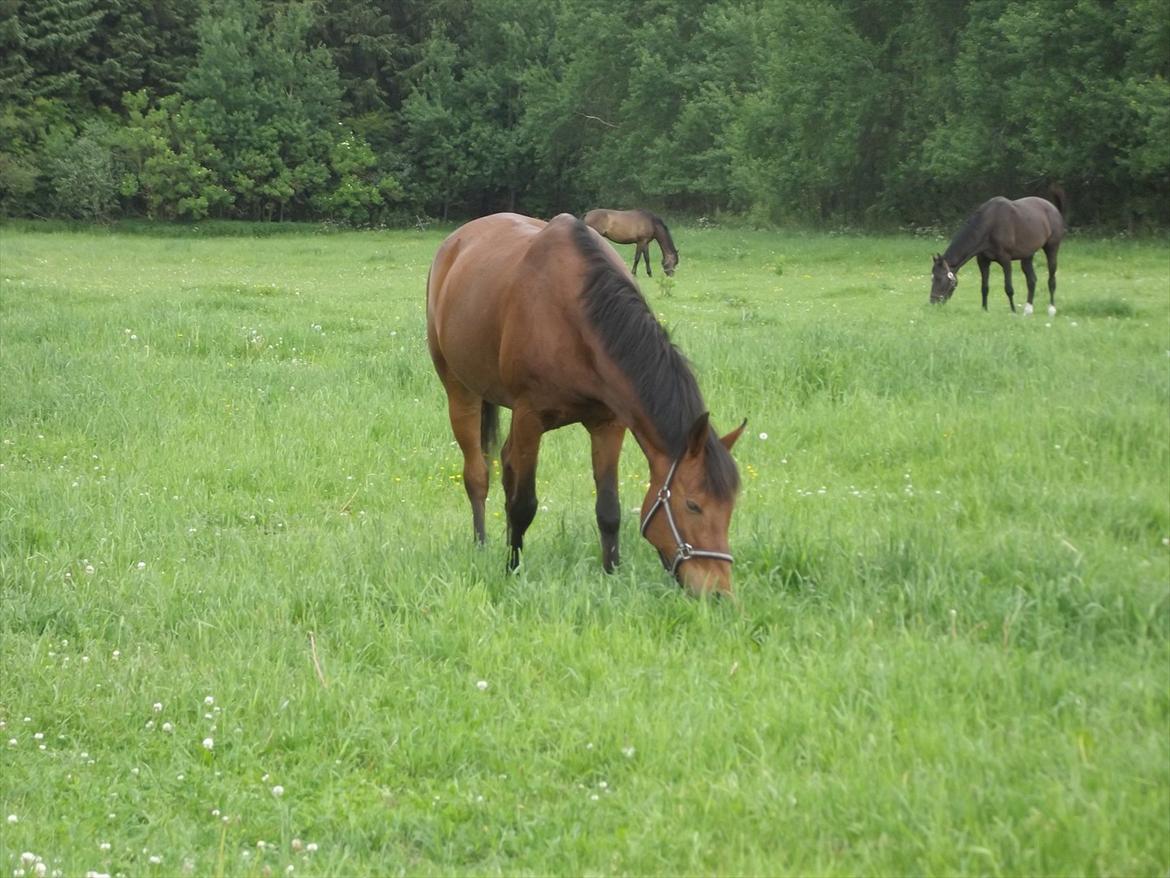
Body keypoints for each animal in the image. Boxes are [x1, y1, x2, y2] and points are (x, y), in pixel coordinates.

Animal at [425, 213, 744, 599]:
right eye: (693, 505)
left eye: (730, 506)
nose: (719, 592)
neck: (575, 315)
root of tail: (453, 242)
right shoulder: (530, 417)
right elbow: (524, 504)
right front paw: (512, 570)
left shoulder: (609, 424)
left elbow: (609, 509)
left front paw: (612, 573)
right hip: (461, 391)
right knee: (478, 475)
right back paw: (483, 544)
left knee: (506, 462)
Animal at [926, 194, 1067, 313]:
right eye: (932, 278)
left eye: (940, 279)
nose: (933, 302)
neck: (990, 225)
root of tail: (1053, 208)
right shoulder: (983, 261)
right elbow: (984, 287)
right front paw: (984, 310)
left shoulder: (1005, 260)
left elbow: (1008, 288)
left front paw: (1013, 311)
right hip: (1027, 255)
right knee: (1031, 280)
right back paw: (1028, 310)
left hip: (1052, 249)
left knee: (1051, 279)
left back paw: (1051, 309)